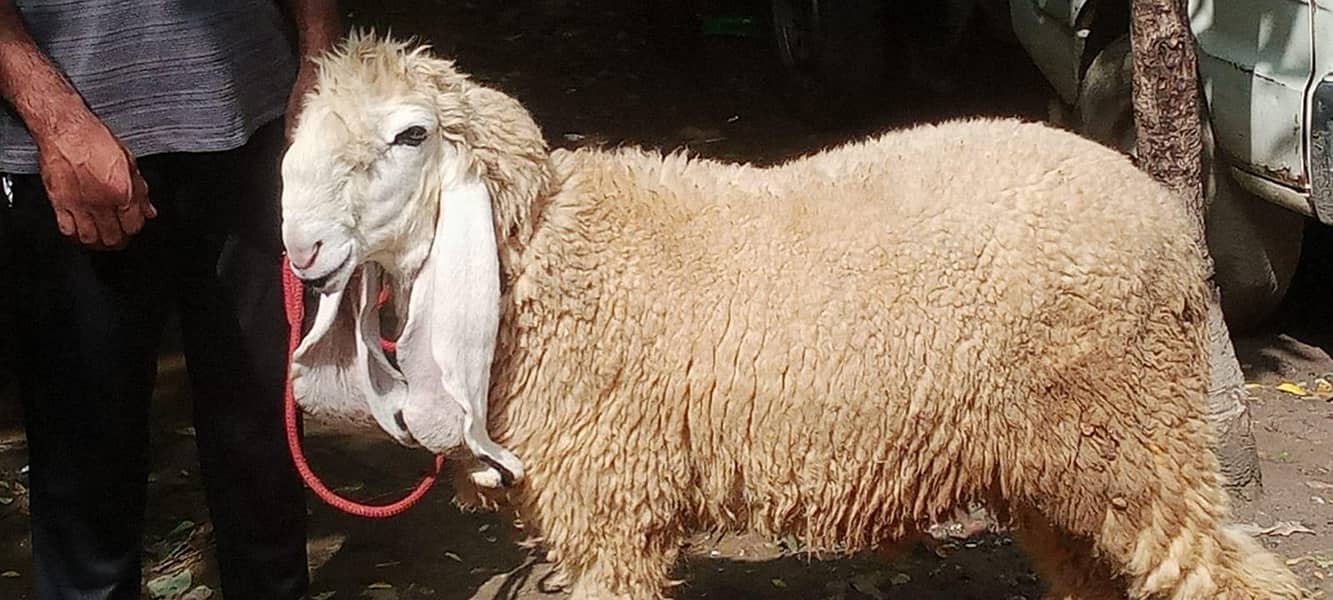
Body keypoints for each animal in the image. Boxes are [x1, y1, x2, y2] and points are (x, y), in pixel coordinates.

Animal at [280, 33, 1310, 599]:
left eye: (411, 136)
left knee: (1235, 576)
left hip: (1135, 430)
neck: (549, 255)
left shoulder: (609, 502)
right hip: (1061, 457)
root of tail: (1167, 222)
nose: (299, 248)